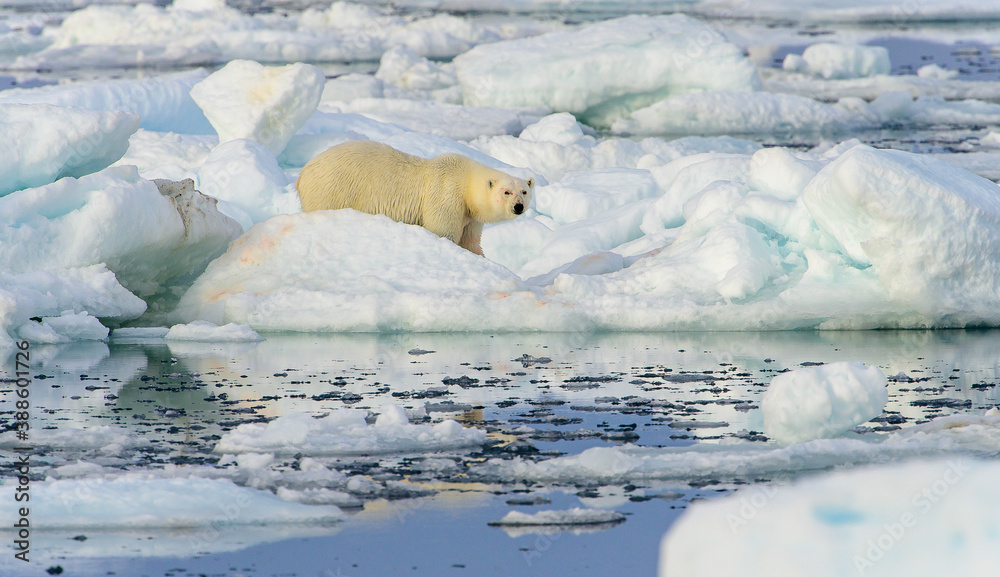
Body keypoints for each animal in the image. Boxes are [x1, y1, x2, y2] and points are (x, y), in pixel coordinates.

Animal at [296, 141, 534, 256]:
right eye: (506, 191)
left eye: (524, 191)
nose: (518, 207)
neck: (465, 181)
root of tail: (303, 172)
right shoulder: (446, 193)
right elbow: (442, 230)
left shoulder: (471, 217)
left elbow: (471, 241)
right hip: (332, 189)